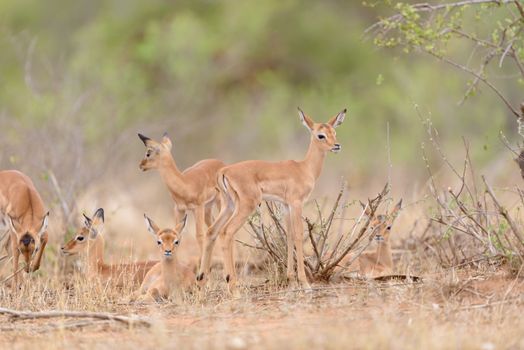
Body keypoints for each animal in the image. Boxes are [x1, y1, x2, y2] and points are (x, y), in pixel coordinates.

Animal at [199, 107, 346, 292]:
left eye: (334, 132)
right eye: (321, 135)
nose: (337, 146)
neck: (304, 168)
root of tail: (224, 171)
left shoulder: (285, 205)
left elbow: (289, 235)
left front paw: (291, 280)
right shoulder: (296, 203)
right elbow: (299, 235)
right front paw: (305, 284)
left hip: (228, 205)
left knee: (212, 231)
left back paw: (202, 281)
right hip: (246, 206)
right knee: (226, 232)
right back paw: (233, 287)